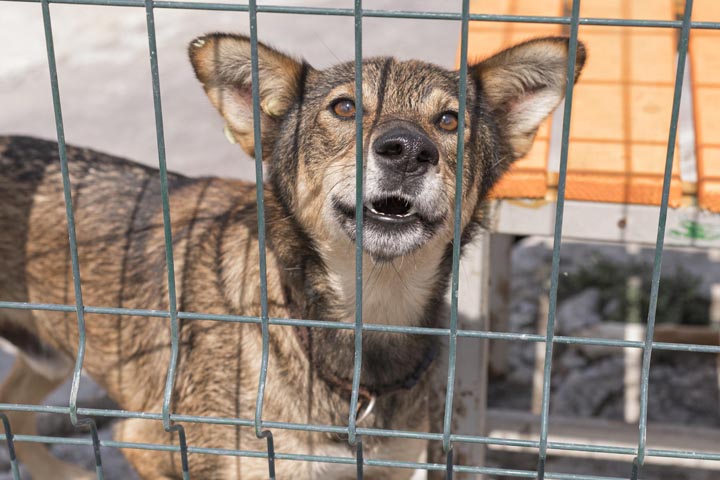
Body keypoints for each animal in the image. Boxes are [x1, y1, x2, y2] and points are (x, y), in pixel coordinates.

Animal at [0, 32, 584, 476]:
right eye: (344, 108)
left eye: (449, 121)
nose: (406, 151)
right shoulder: (150, 442)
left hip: (53, 354)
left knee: (16, 409)